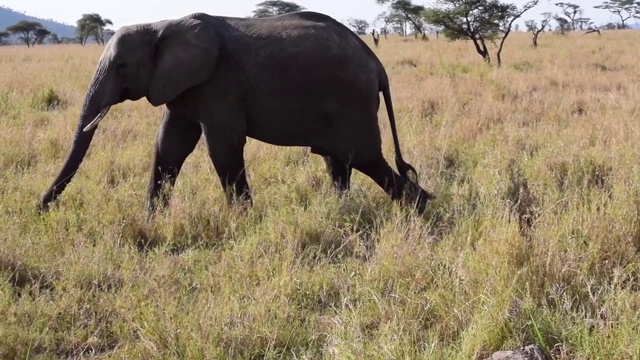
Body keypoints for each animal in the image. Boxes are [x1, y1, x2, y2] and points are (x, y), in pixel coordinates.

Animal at [37, 11, 432, 217]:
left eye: (121, 66)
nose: (40, 209)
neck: (162, 25)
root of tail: (377, 65)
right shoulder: (185, 87)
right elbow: (169, 145)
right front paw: (151, 219)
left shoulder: (219, 83)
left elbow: (223, 146)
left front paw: (243, 220)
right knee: (338, 161)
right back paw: (342, 211)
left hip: (353, 101)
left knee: (365, 158)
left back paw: (420, 209)